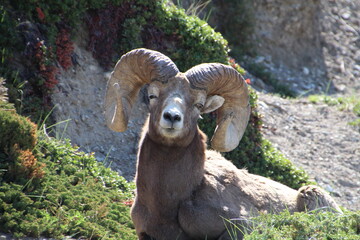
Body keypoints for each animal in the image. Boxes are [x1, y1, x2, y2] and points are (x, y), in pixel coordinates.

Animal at [103, 47, 340, 239]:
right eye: (152, 95)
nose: (171, 117)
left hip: (311, 193)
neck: (168, 202)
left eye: (198, 105)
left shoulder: (241, 227)